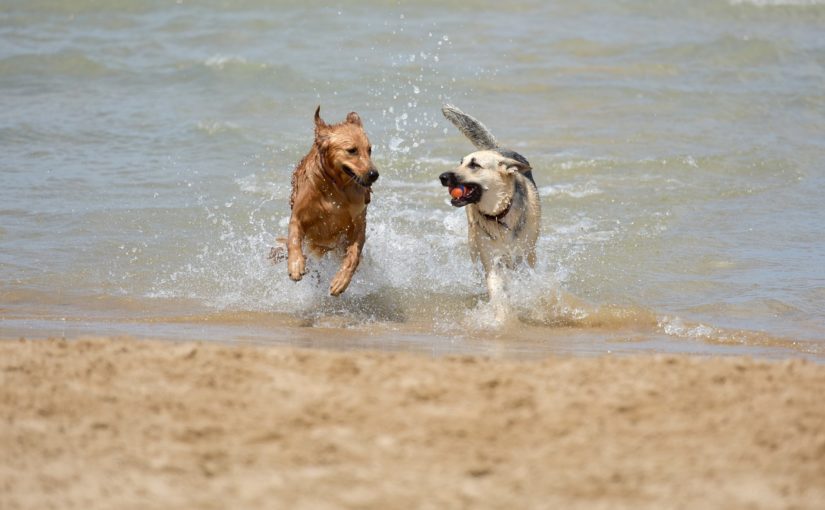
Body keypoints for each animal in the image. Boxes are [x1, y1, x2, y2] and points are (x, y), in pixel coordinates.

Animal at [274, 107, 384, 296]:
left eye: (369, 150)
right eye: (352, 150)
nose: (374, 174)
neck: (336, 188)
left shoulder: (358, 223)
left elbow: (353, 255)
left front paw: (341, 280)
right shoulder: (298, 216)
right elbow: (293, 239)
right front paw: (295, 265)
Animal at [438, 103, 540, 312]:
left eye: (474, 165)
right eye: (460, 162)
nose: (442, 177)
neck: (500, 215)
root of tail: (496, 149)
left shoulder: (525, 257)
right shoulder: (491, 260)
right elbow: (498, 292)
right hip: (473, 245)